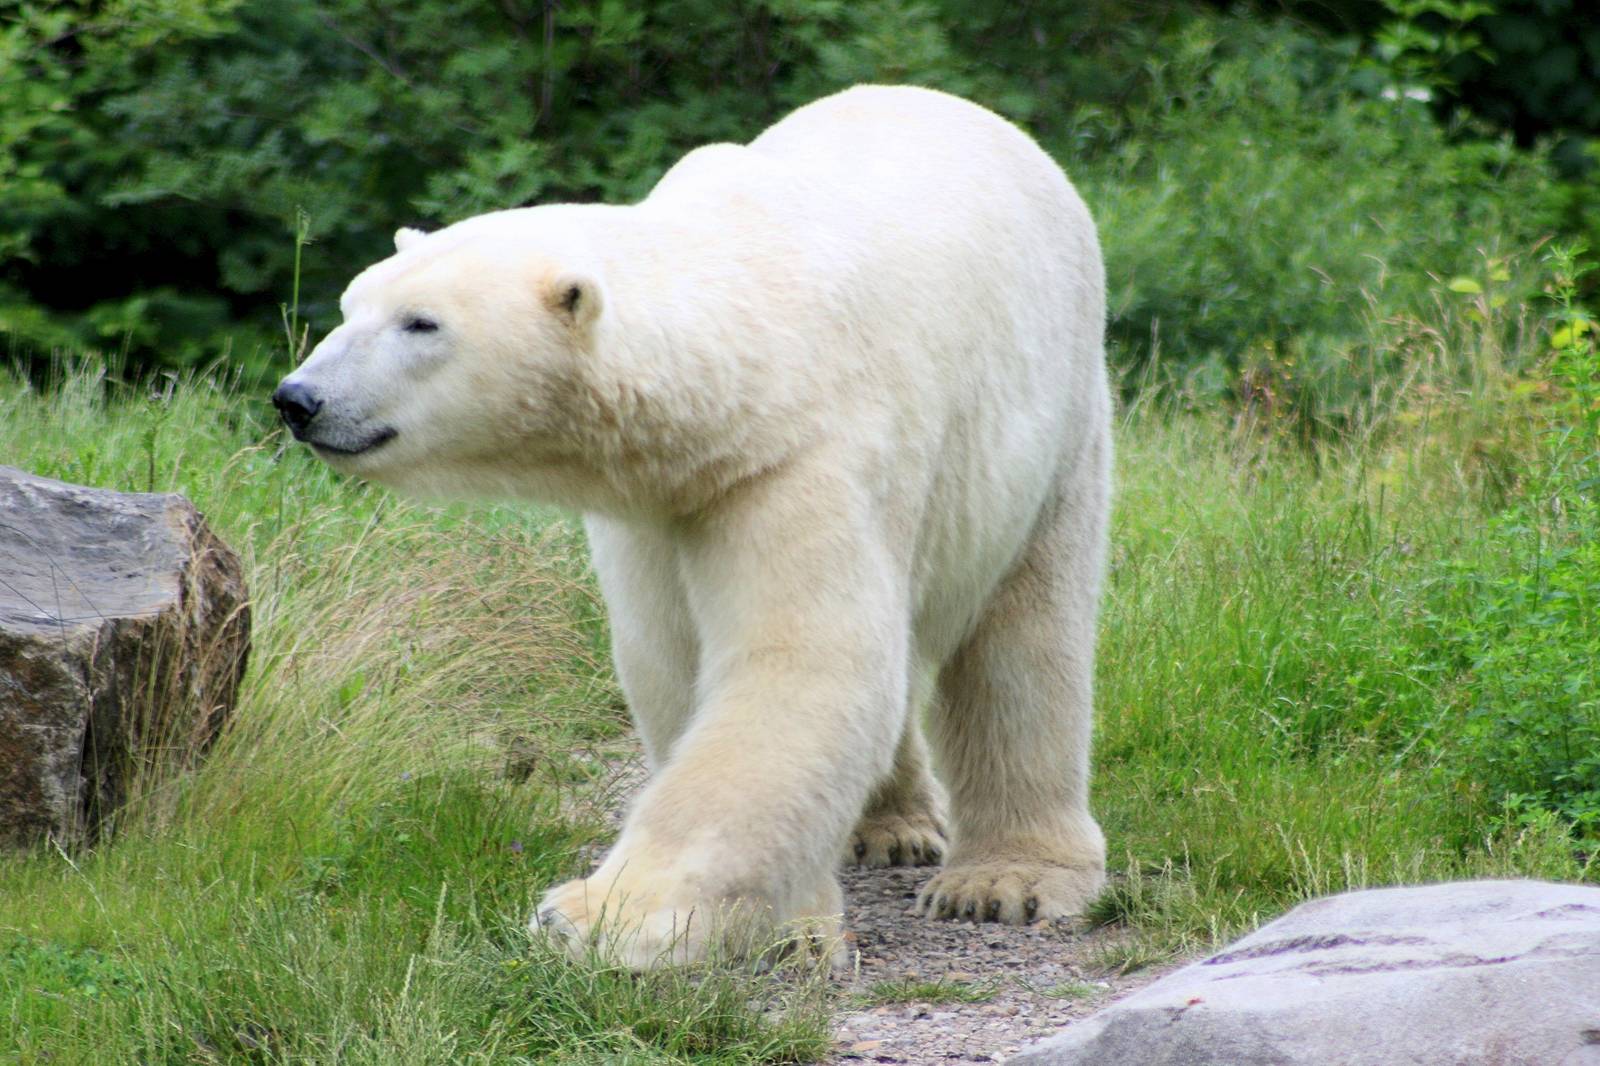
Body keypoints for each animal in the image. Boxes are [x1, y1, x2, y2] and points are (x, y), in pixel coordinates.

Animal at [272, 84, 1110, 968]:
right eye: (350, 304)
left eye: (421, 323)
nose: (299, 398)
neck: (745, 350)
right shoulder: (657, 503)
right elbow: (669, 660)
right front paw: (789, 919)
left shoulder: (804, 457)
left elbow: (802, 666)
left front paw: (596, 915)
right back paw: (891, 829)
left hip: (1050, 423)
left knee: (1024, 644)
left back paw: (1004, 881)